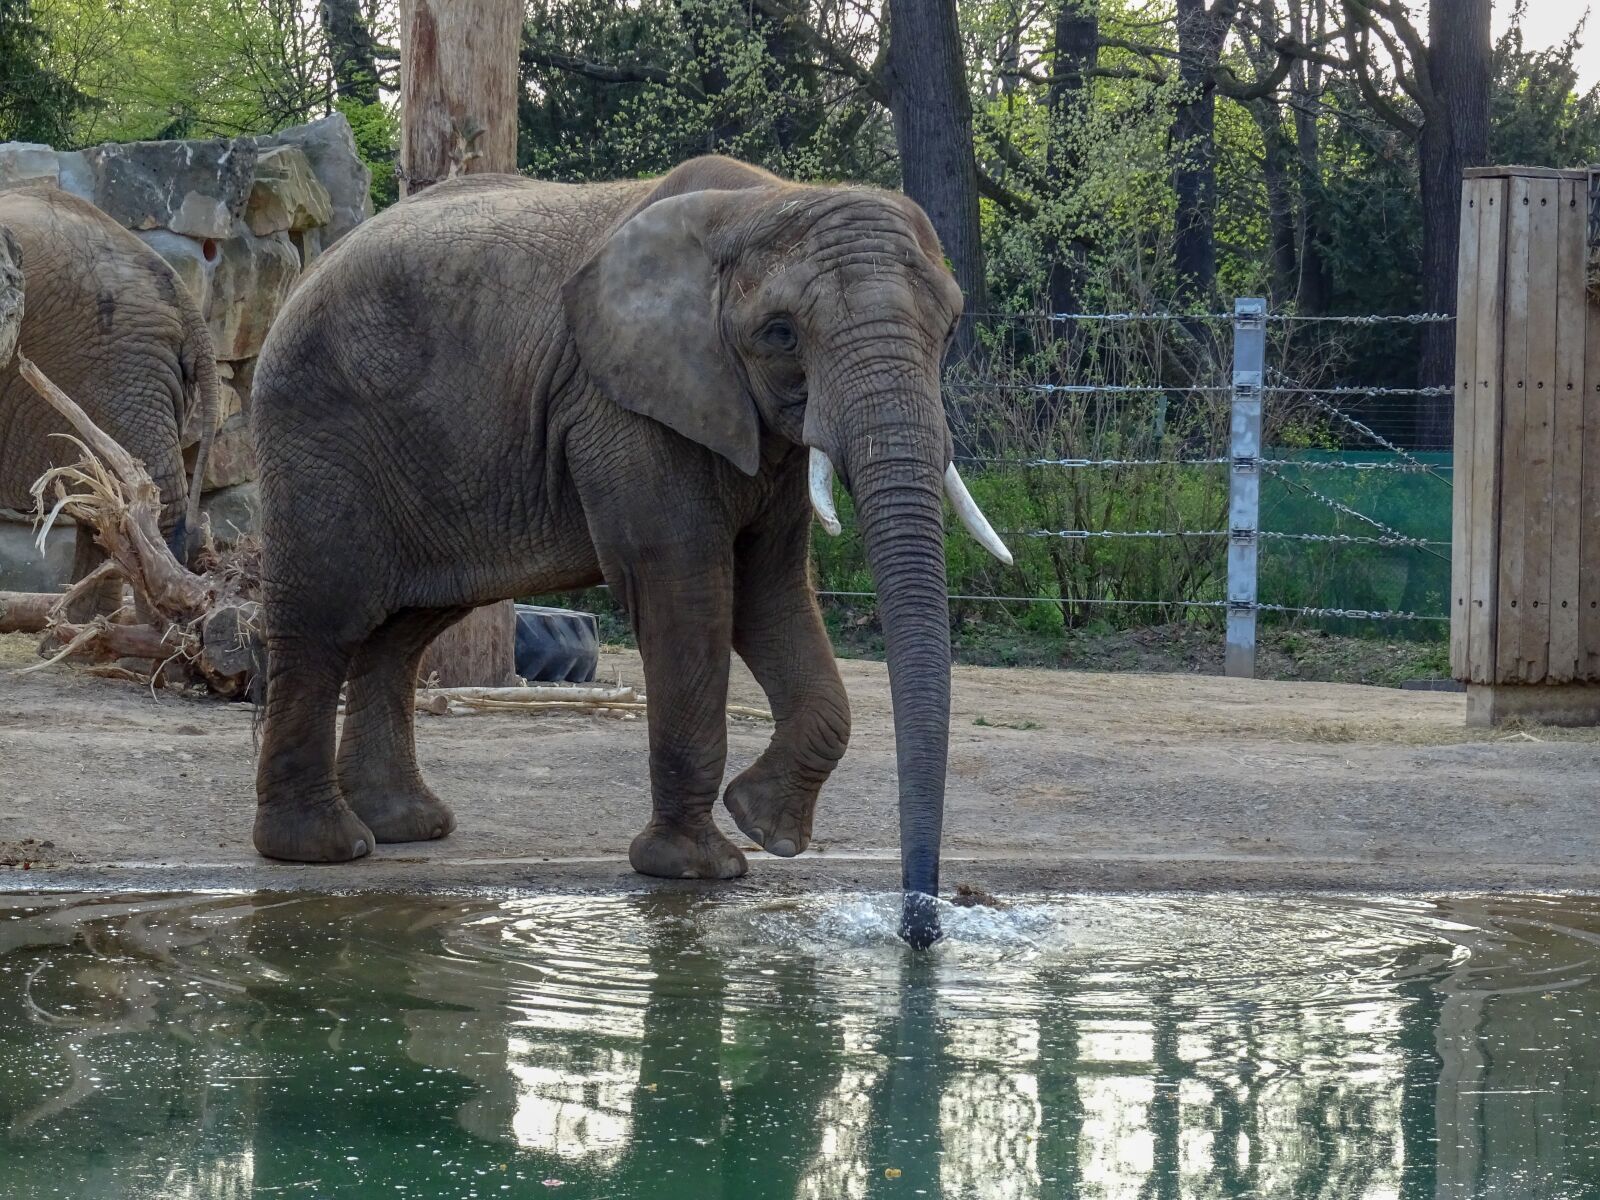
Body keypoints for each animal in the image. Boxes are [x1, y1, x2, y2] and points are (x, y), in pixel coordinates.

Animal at [249, 155, 1011, 948]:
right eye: (780, 334)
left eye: (949, 328)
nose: (919, 928)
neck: (762, 204)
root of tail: (311, 267)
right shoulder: (625, 408)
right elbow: (688, 591)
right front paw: (699, 869)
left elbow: (769, 594)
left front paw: (765, 828)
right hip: (316, 432)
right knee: (323, 623)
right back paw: (324, 848)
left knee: (402, 631)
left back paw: (408, 827)